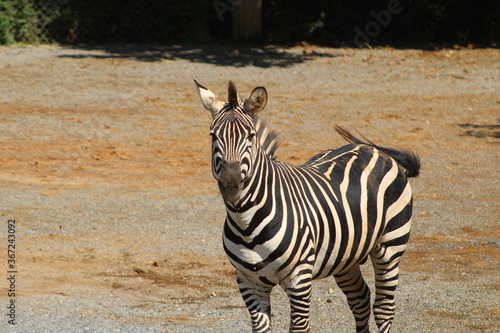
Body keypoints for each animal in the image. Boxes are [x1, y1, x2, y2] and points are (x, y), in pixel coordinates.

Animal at [193, 79, 420, 330]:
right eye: (213, 136)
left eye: (251, 136)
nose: (231, 184)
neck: (246, 223)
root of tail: (374, 150)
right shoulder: (248, 282)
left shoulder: (299, 279)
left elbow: (300, 326)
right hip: (345, 258)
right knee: (360, 299)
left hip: (390, 247)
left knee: (383, 309)